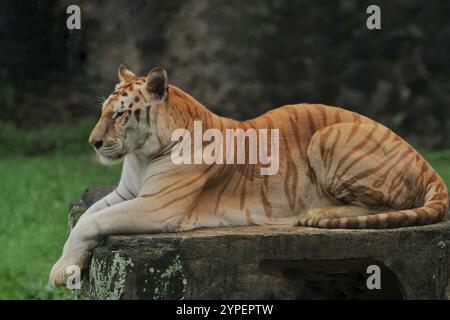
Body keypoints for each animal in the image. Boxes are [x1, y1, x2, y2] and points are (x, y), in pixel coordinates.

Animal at [48, 63, 446, 286]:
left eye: (120, 114)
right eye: (104, 111)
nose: (94, 143)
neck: (142, 156)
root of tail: (425, 161)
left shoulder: (157, 206)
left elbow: (91, 222)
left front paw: (61, 271)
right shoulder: (127, 194)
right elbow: (86, 216)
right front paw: (68, 266)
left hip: (329, 136)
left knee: (383, 207)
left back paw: (317, 213)